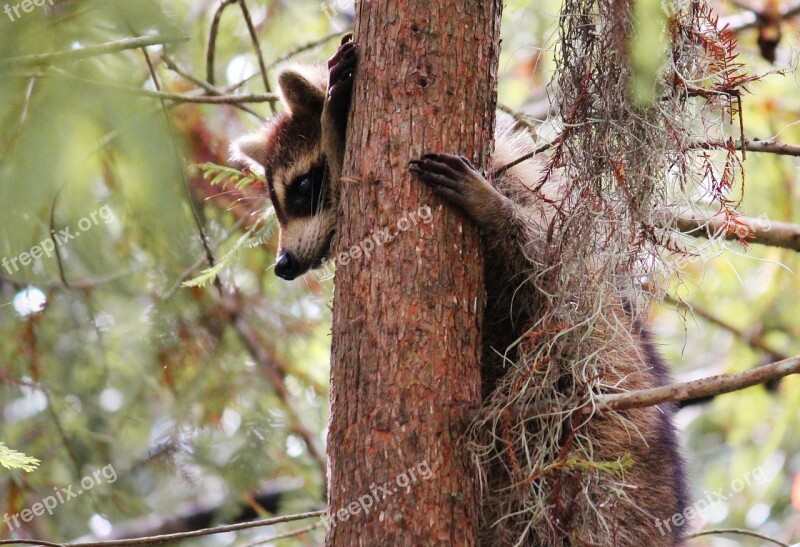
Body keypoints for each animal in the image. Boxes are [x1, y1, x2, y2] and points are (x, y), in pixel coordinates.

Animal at [230, 36, 688, 544]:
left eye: (304, 186)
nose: (283, 266)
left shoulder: (540, 221)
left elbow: (539, 257)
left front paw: (334, 120)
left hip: (605, 433)